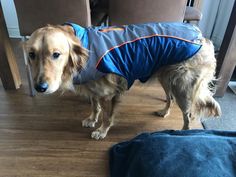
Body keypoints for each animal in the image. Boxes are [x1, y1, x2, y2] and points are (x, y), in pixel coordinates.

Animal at [25, 22, 221, 139]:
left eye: (56, 54)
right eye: (31, 54)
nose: (40, 87)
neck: (85, 49)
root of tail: (200, 36)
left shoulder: (108, 94)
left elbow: (107, 115)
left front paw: (102, 130)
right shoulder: (94, 89)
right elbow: (94, 107)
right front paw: (92, 119)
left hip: (183, 88)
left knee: (188, 115)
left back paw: (183, 134)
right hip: (167, 79)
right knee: (169, 98)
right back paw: (164, 112)